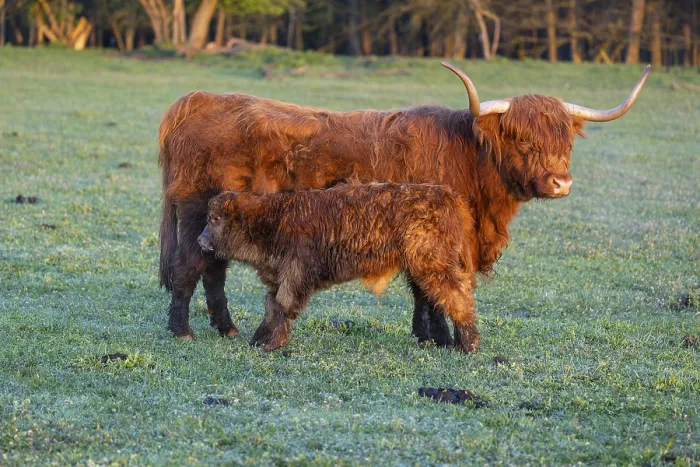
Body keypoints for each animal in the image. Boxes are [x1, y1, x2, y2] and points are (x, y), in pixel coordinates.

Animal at [197, 182, 481, 352]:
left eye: (215, 219)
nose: (200, 240)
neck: (271, 220)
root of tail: (449, 196)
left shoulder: (294, 276)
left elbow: (283, 308)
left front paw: (272, 344)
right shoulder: (278, 279)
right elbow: (271, 307)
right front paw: (258, 339)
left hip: (434, 268)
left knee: (458, 298)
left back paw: (467, 345)